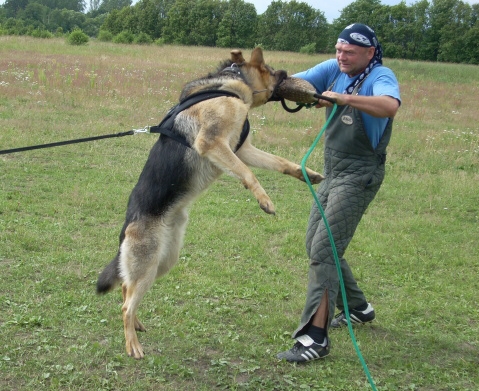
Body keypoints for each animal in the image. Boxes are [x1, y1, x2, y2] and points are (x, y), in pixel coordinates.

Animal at [95, 47, 324, 360]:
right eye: (271, 70)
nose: (288, 74)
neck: (230, 86)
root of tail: (126, 227)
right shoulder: (214, 143)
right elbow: (249, 173)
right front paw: (264, 200)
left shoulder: (243, 148)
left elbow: (280, 163)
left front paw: (308, 174)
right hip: (149, 265)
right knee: (125, 305)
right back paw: (133, 345)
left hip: (163, 262)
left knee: (126, 289)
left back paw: (138, 325)